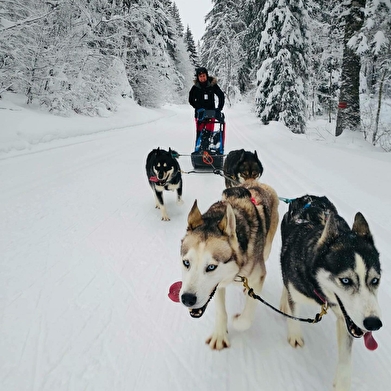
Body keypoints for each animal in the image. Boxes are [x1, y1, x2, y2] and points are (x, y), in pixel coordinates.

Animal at [180, 180, 278, 350]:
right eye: (186, 262)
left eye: (211, 267)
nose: (187, 299)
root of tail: (256, 182)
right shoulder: (218, 285)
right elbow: (221, 311)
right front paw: (220, 335)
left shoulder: (259, 276)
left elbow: (245, 319)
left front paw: (237, 321)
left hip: (267, 249)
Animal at [280, 194, 384, 390]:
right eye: (345, 280)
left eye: (375, 280)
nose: (374, 323)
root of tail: (308, 197)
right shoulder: (296, 293)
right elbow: (293, 311)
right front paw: (294, 334)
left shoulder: (346, 320)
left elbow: (346, 358)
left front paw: (342, 383)